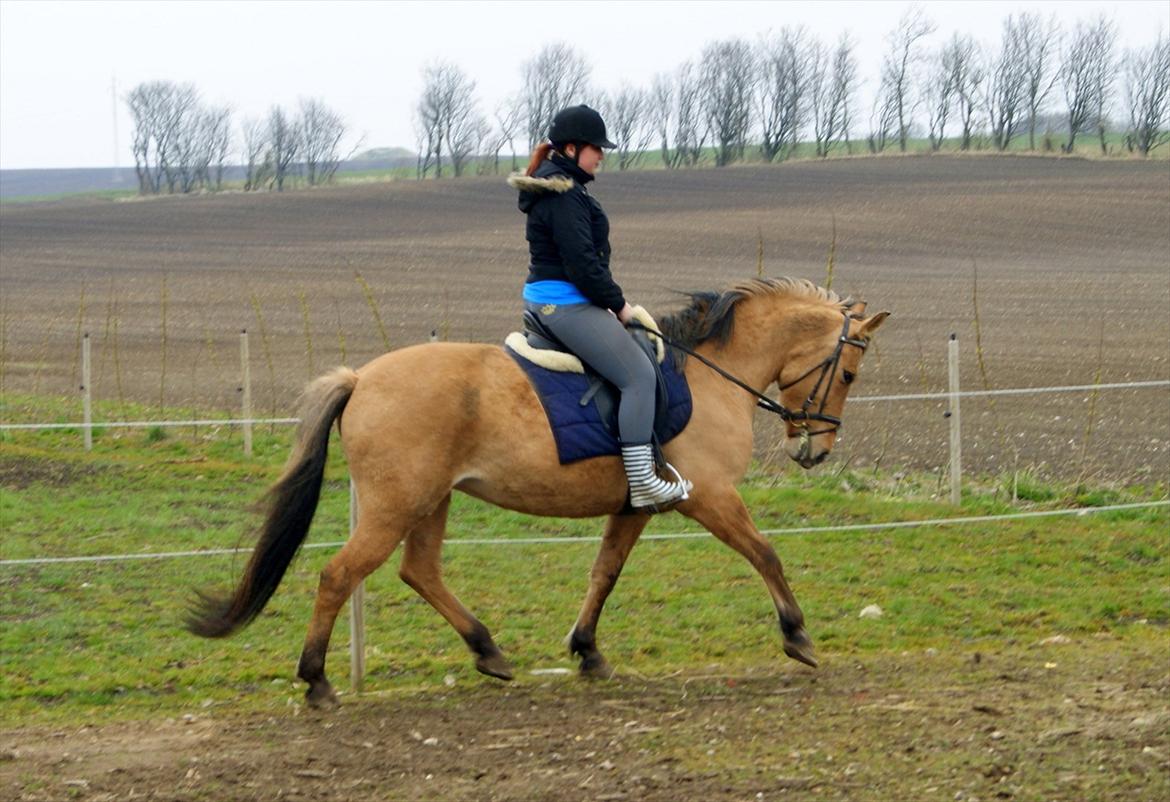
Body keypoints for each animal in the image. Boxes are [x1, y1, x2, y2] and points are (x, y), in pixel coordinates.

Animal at [189, 276, 884, 707]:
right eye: (848, 373)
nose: (815, 450)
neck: (709, 377)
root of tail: (360, 378)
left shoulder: (638, 505)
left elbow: (605, 572)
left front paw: (588, 651)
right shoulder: (708, 497)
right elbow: (765, 552)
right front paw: (798, 637)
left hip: (431, 501)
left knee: (421, 572)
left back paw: (488, 651)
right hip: (397, 505)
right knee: (340, 574)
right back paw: (318, 681)